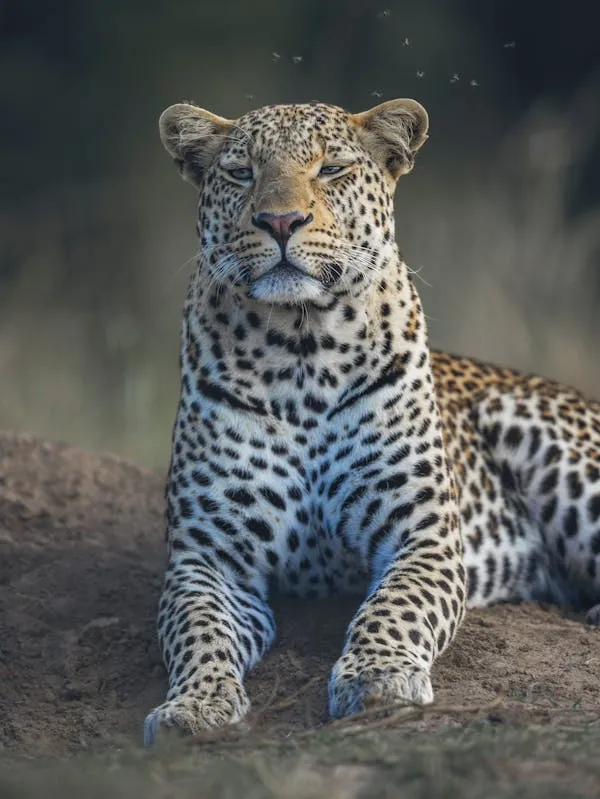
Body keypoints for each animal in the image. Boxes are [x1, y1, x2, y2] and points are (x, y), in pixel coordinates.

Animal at [143, 97, 600, 744]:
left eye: (331, 170)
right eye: (240, 174)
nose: (280, 222)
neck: (300, 351)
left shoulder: (423, 535)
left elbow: (395, 607)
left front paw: (379, 678)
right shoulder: (208, 561)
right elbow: (197, 634)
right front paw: (195, 704)